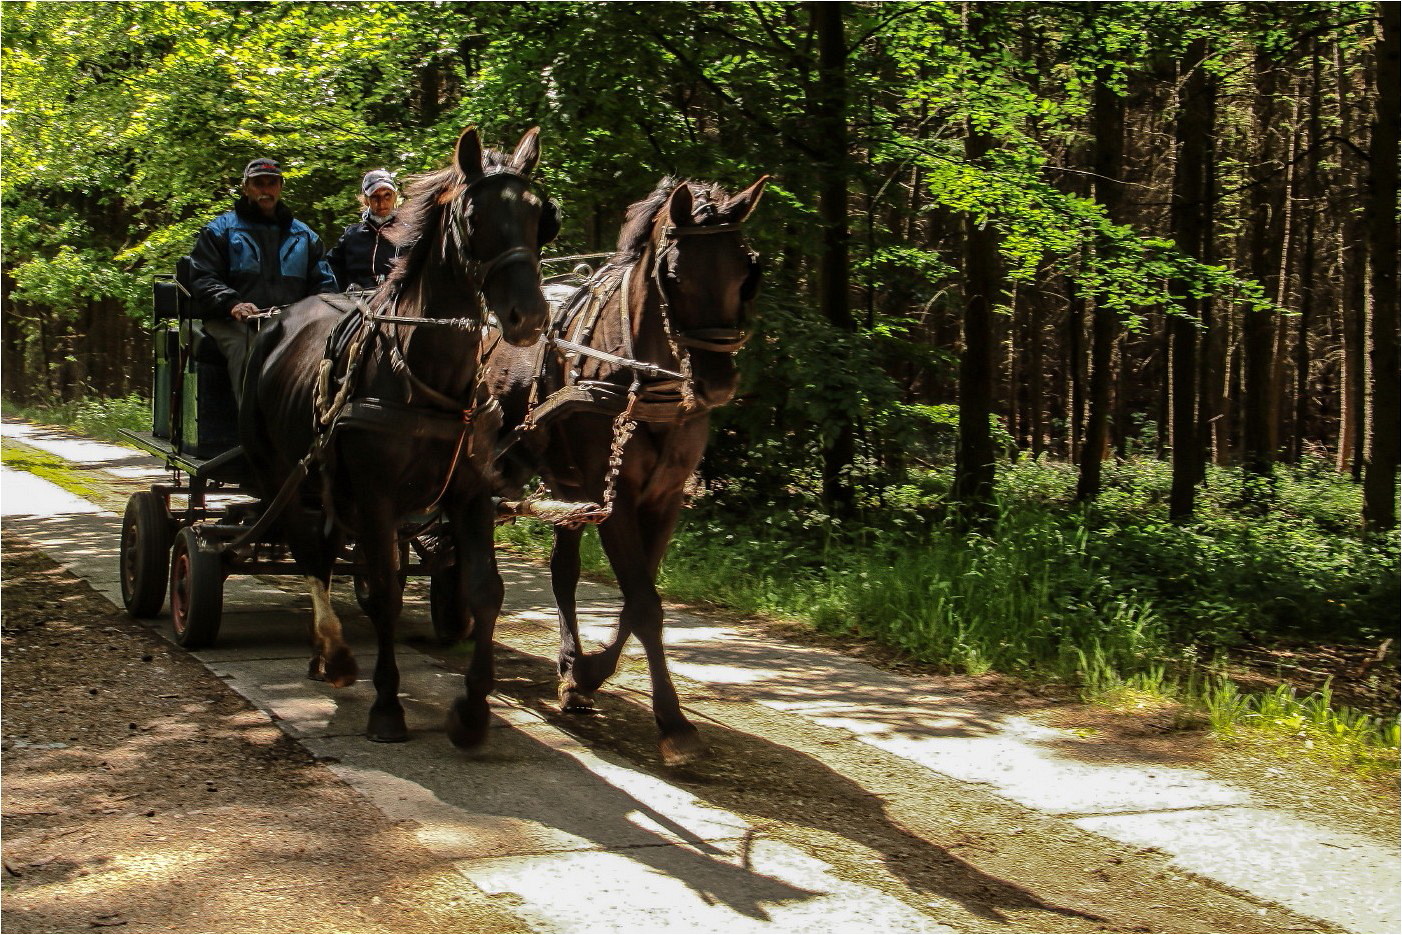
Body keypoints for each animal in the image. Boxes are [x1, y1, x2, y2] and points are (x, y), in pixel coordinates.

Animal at [243, 129, 555, 745]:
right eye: (475, 217)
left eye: (539, 215)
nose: (528, 316)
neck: (426, 374)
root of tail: (280, 319)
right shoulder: (377, 498)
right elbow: (385, 594)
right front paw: (387, 706)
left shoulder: (470, 493)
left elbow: (485, 591)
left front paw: (473, 710)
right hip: (281, 475)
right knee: (309, 553)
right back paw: (335, 653)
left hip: (329, 484)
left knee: (329, 549)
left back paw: (322, 654)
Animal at [482, 175, 768, 768]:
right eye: (673, 276)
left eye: (746, 271)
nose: (717, 383)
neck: (642, 379)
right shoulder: (612, 496)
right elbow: (645, 604)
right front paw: (674, 724)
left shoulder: (663, 499)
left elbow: (639, 602)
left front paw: (585, 675)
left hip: (564, 484)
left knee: (562, 573)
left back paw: (569, 660)